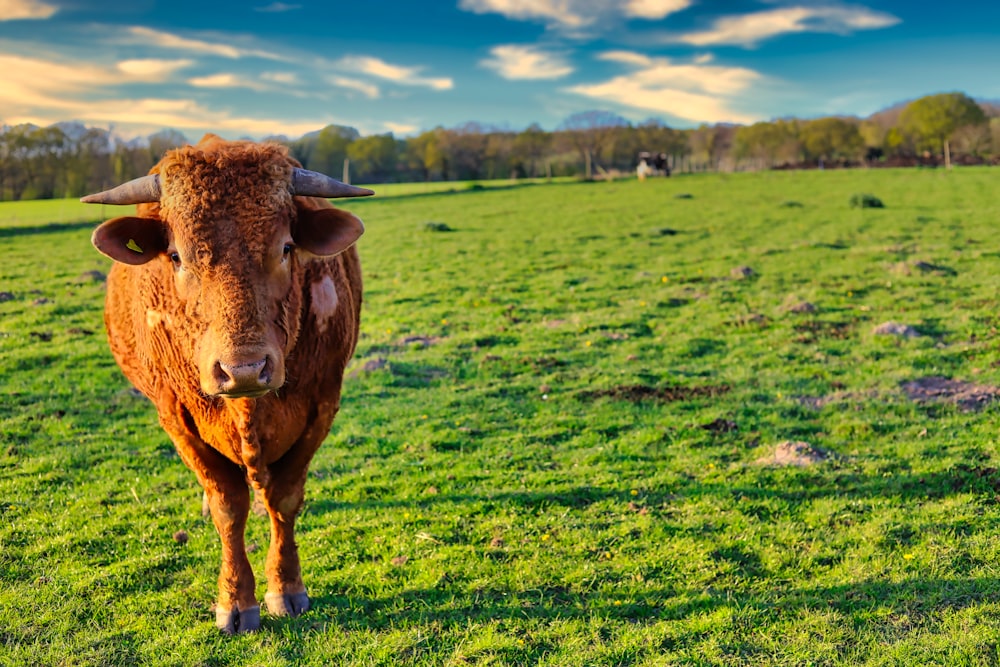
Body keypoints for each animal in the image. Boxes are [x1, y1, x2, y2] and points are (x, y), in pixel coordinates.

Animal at [81, 133, 372, 636]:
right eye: (176, 255)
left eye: (287, 248)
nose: (244, 369)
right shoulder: (176, 417)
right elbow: (227, 505)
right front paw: (235, 600)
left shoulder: (322, 405)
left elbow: (283, 499)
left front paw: (286, 588)